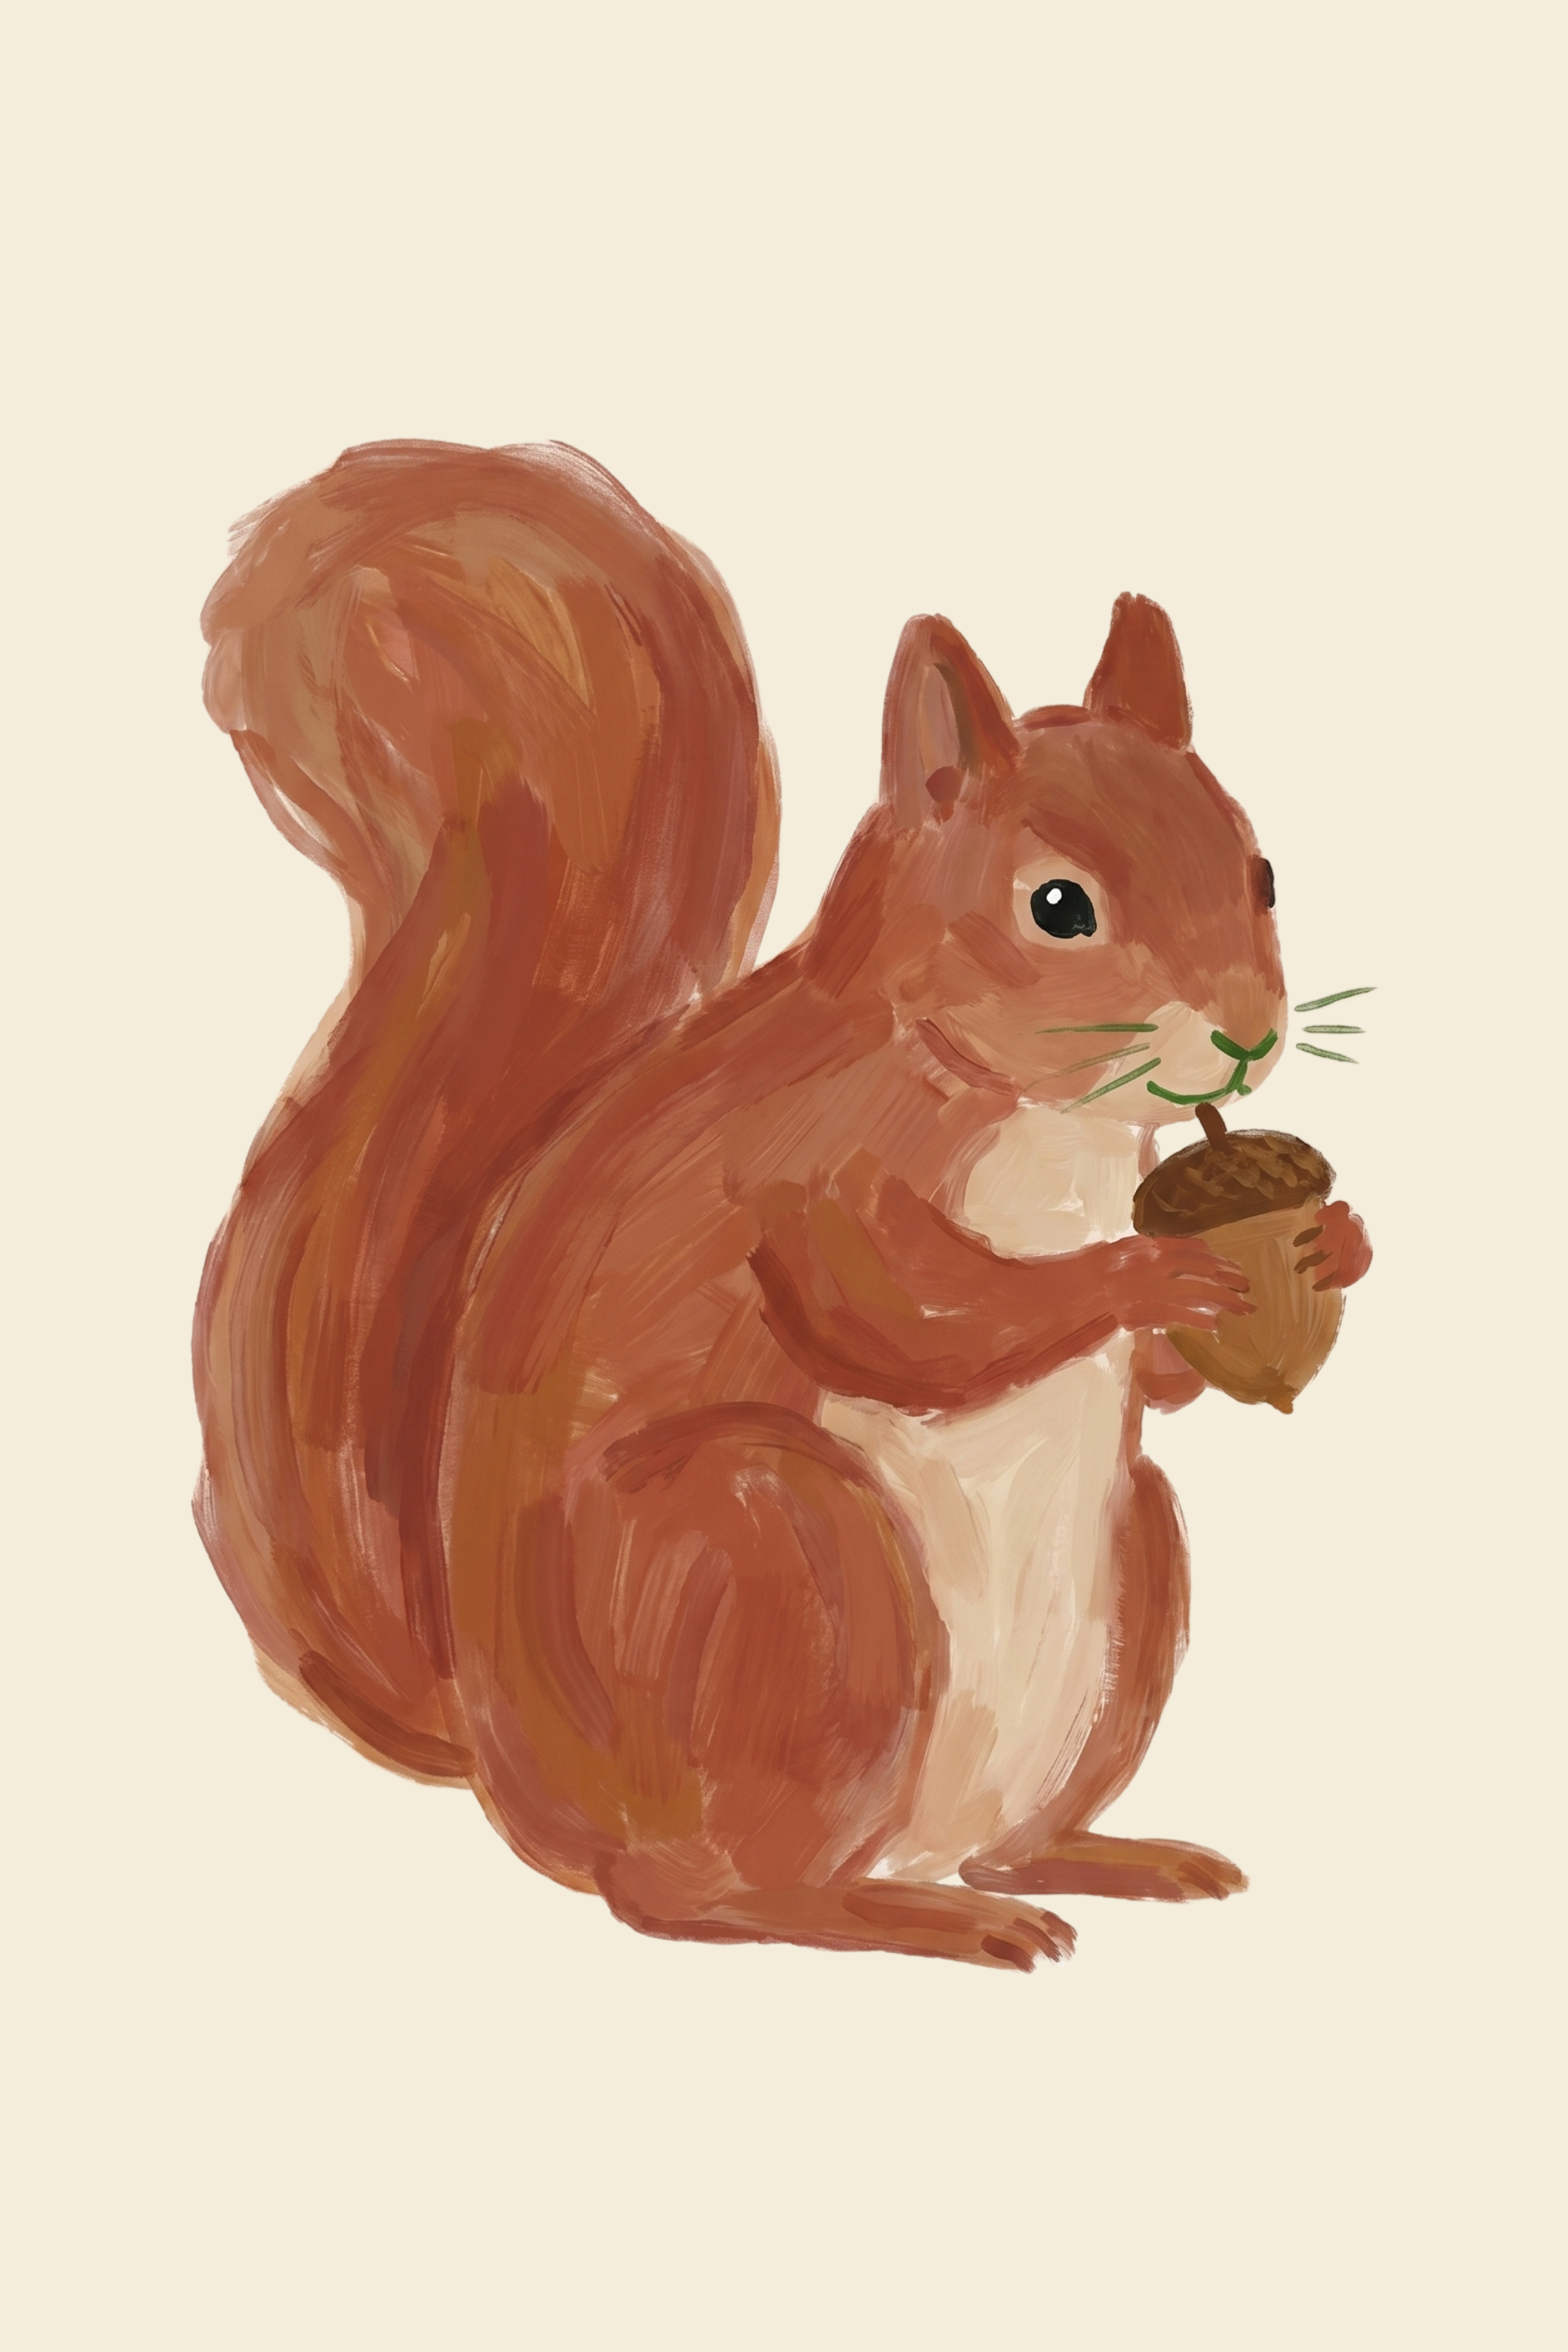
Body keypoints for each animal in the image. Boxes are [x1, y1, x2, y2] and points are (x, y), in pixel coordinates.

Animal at [195, 438, 1371, 1971]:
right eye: (1057, 905)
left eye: (1264, 870)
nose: (1246, 1038)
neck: (1046, 1120)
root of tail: (511, 1768)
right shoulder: (806, 1176)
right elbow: (915, 1325)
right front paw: (1139, 1279)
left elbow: (1156, 1389)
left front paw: (1335, 1245)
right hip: (785, 1559)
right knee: (701, 1894)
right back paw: (909, 1917)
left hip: (1131, 1559)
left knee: (1007, 1830)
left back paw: (1101, 1862)